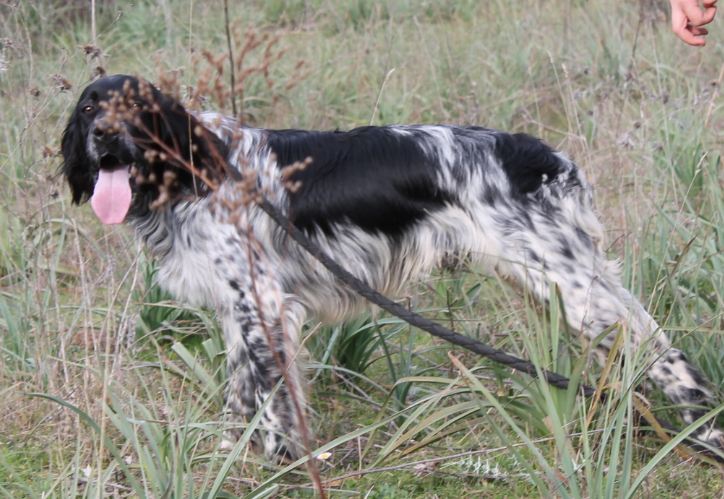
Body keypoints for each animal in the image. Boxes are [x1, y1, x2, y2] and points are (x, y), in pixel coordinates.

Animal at [61, 74, 722, 461]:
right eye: (91, 106)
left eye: (135, 108)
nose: (105, 137)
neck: (197, 171)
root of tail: (543, 156)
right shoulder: (239, 310)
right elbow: (241, 396)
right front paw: (232, 456)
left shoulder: (264, 304)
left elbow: (274, 403)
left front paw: (283, 464)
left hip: (573, 286)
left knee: (669, 357)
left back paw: (704, 434)